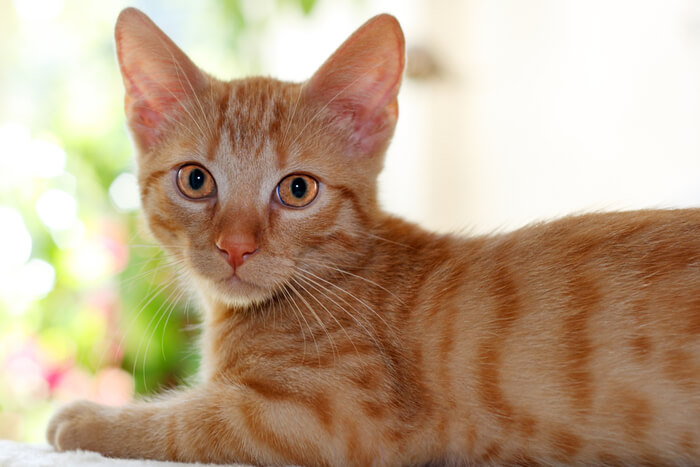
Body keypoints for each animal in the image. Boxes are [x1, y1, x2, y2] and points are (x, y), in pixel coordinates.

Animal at [46, 7, 696, 467]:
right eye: (195, 180)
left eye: (298, 190)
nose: (236, 247)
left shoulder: (331, 419)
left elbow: (192, 421)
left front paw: (86, 420)